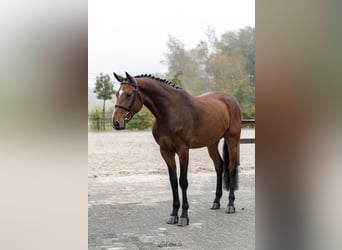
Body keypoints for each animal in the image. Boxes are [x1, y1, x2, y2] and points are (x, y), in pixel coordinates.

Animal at [112, 72, 240, 227]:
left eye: (129, 94)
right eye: (117, 93)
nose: (116, 122)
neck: (170, 113)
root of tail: (231, 100)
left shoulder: (183, 150)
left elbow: (183, 181)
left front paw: (184, 216)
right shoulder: (166, 151)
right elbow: (173, 180)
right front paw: (173, 214)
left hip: (232, 140)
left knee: (231, 168)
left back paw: (230, 205)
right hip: (212, 143)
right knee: (219, 166)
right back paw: (216, 202)